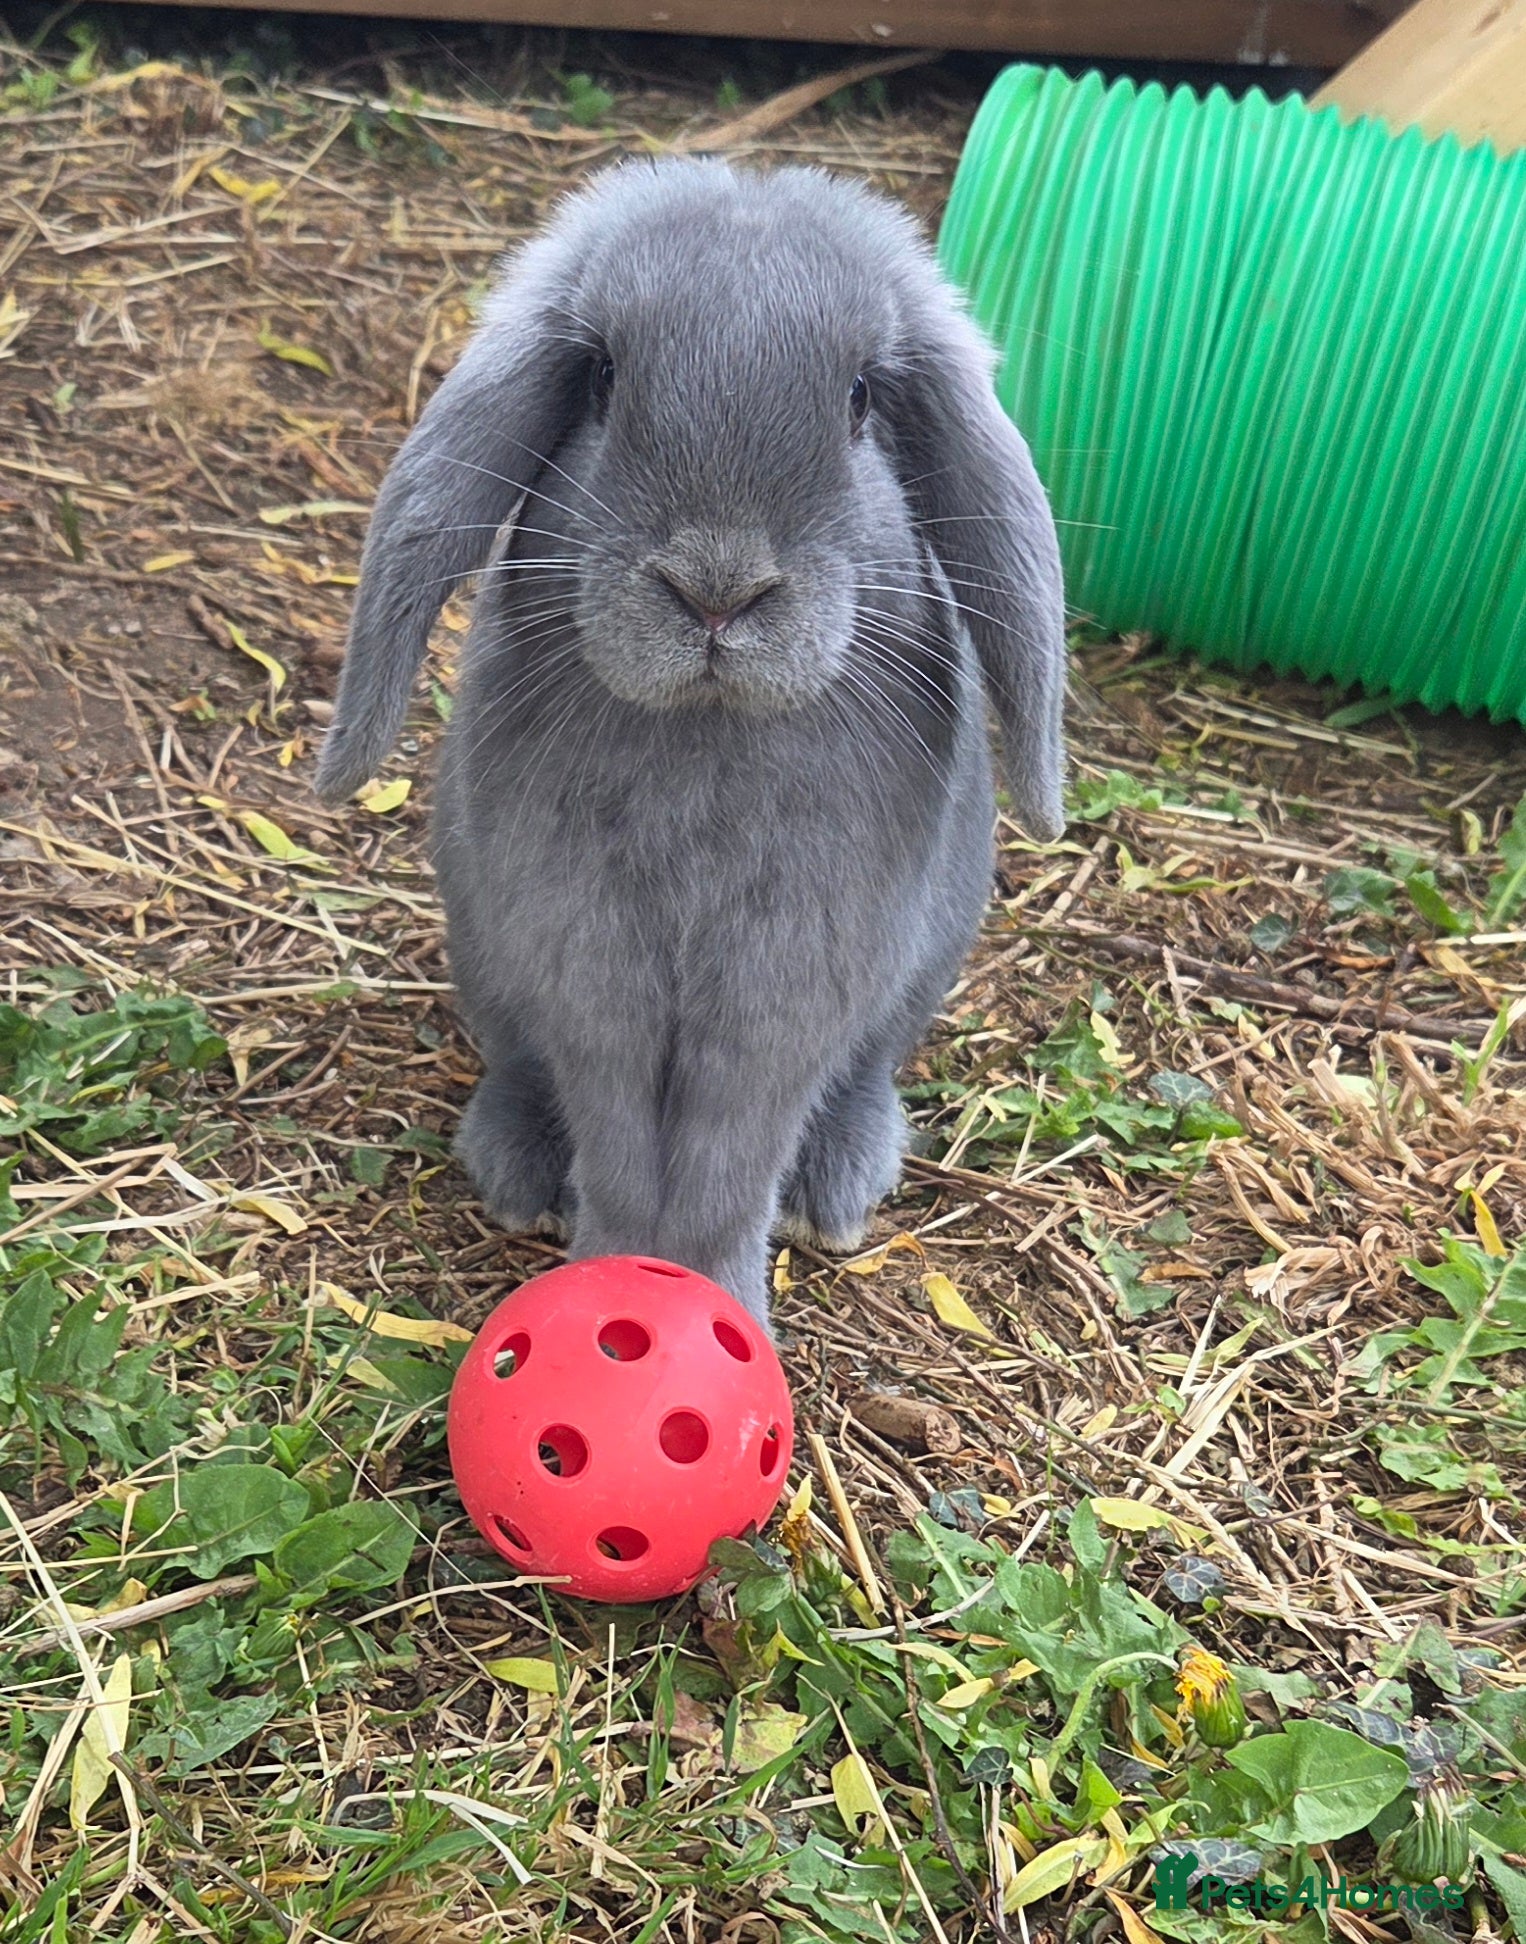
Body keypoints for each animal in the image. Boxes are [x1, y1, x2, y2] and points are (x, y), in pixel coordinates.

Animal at [315, 157, 1067, 1328]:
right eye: (602, 377)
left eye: (860, 398)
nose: (717, 589)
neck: (708, 736)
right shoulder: (588, 965)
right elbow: (620, 1137)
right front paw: (614, 1272)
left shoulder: (782, 985)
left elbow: (731, 1157)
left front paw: (712, 1295)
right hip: (485, 957)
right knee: (521, 1069)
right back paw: (519, 1173)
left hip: (918, 973)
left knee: (860, 1077)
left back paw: (836, 1189)